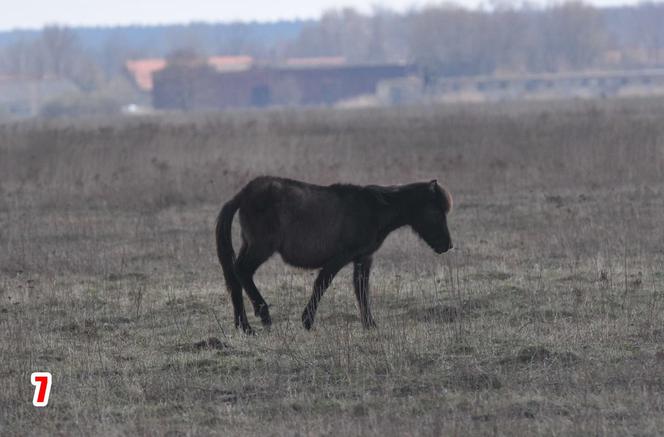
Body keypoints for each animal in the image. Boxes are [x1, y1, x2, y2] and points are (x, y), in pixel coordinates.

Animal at [215, 175, 454, 332]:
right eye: (436, 211)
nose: (448, 245)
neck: (374, 209)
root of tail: (243, 194)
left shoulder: (363, 259)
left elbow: (362, 290)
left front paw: (370, 324)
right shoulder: (339, 258)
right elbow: (322, 284)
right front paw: (307, 321)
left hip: (249, 245)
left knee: (235, 276)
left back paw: (243, 326)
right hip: (261, 248)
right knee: (242, 271)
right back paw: (263, 316)